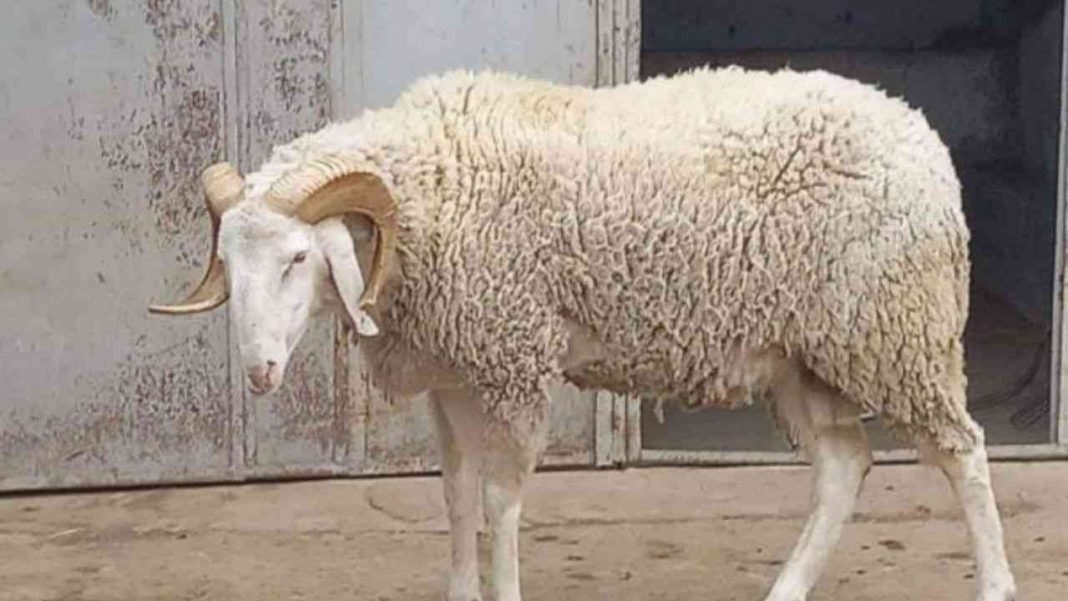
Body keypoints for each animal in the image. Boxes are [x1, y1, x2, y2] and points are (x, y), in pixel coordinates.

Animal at [151, 67, 1017, 601]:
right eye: (229, 260)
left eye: (300, 257)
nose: (259, 371)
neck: (431, 198)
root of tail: (921, 135)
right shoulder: (456, 372)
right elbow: (455, 493)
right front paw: (459, 587)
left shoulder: (512, 359)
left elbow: (500, 500)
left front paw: (502, 588)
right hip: (802, 351)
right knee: (843, 467)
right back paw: (785, 589)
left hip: (896, 329)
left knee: (963, 451)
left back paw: (995, 582)